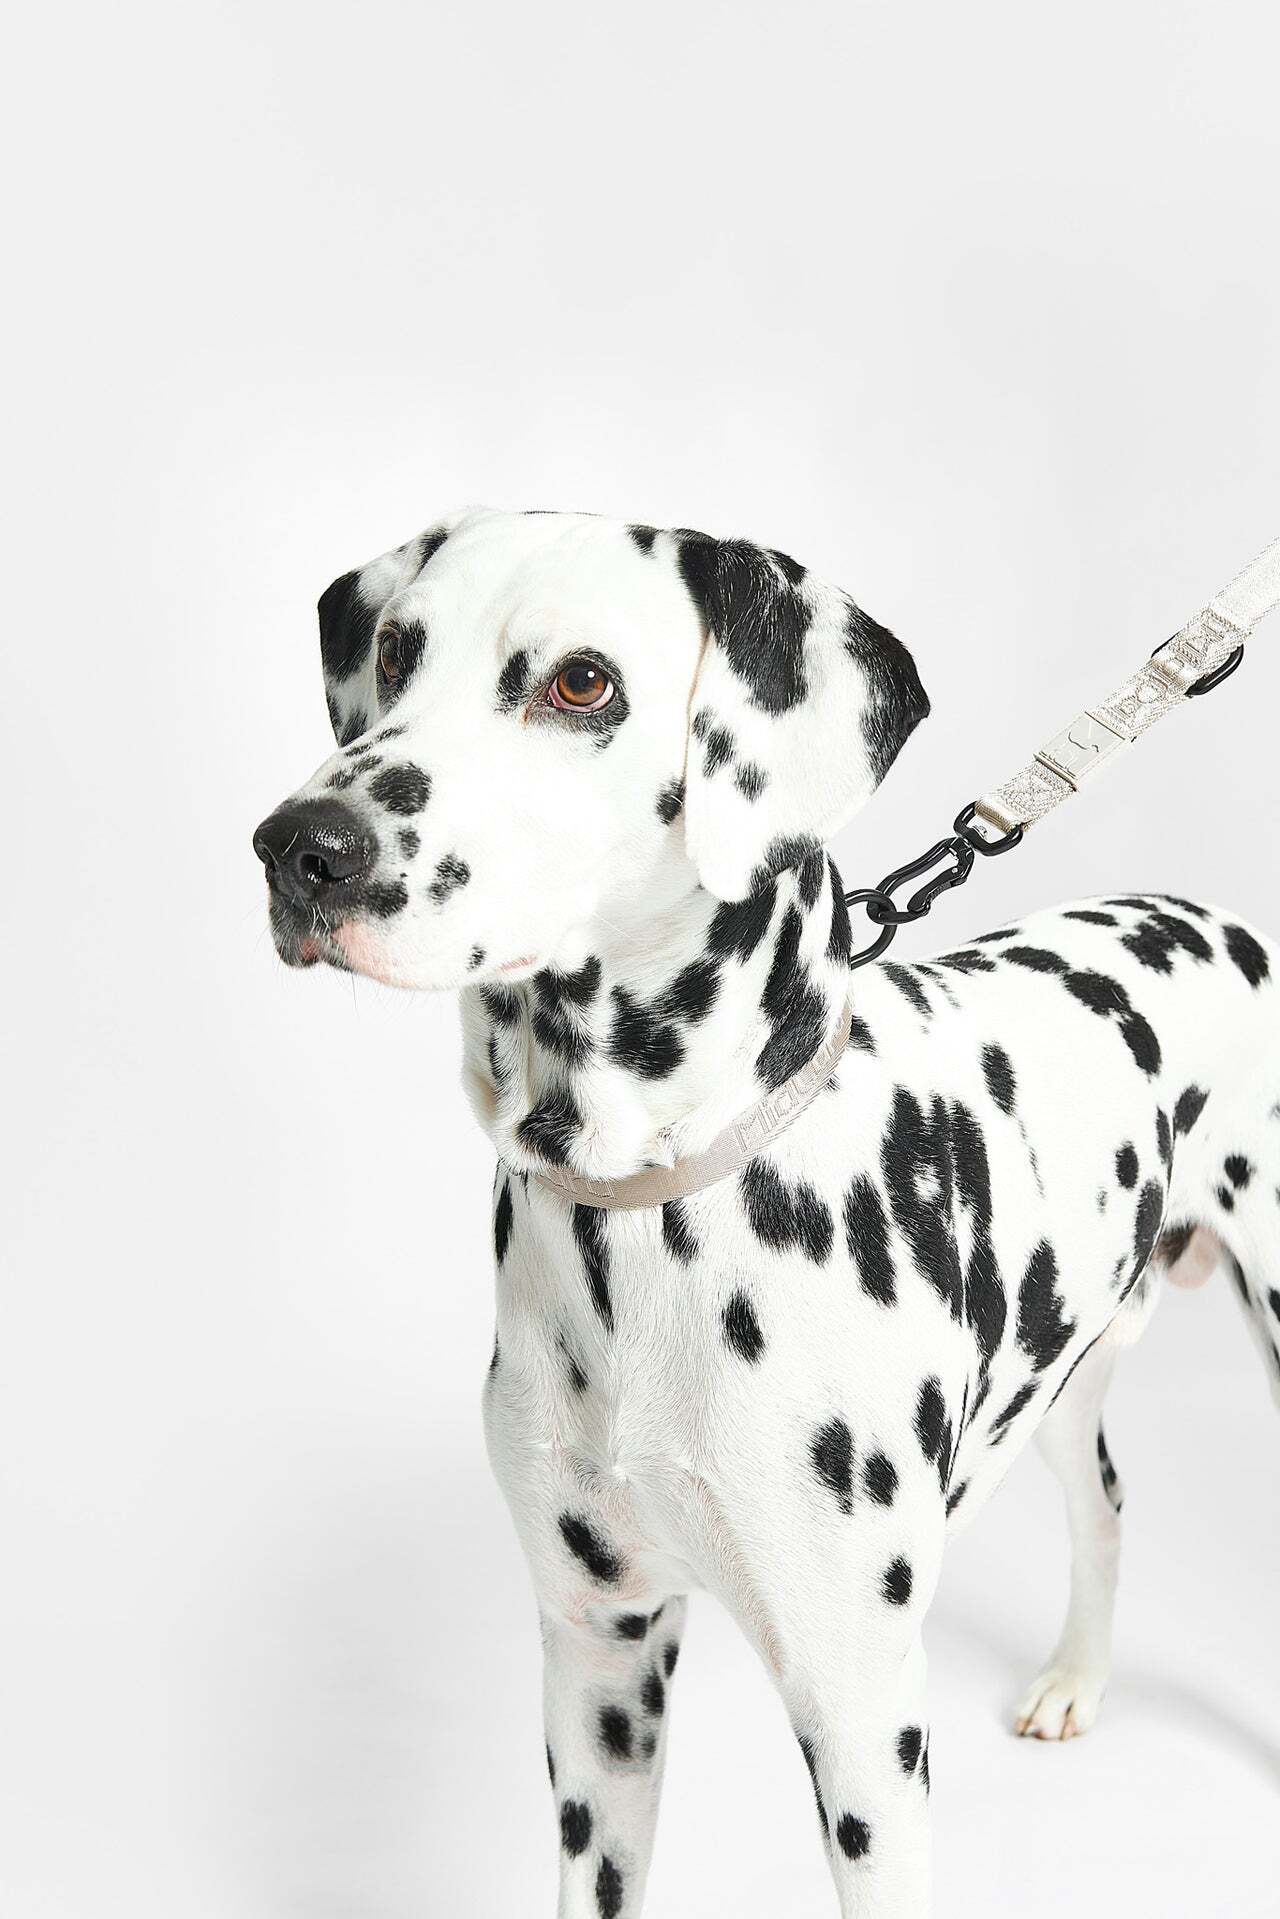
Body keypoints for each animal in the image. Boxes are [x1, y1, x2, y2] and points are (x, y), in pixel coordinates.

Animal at [254, 507, 1280, 1917]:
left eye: (581, 682)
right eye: (398, 650)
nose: (303, 846)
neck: (644, 1211)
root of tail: (1218, 917)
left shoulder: (859, 1707)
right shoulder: (598, 1661)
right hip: (1064, 1372)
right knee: (1105, 1499)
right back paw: (1075, 1678)